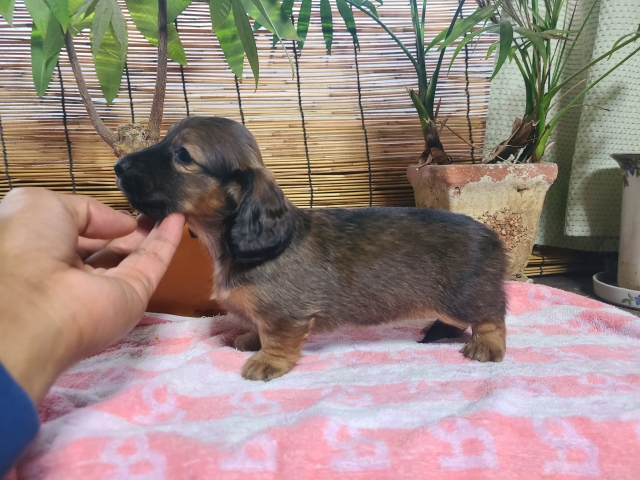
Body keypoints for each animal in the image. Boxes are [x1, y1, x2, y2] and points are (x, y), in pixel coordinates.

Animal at [115, 116, 507, 381]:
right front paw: (249, 339)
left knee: (492, 317)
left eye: (182, 154)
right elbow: (257, 329)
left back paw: (487, 346)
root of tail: (492, 237)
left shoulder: (285, 315)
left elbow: (276, 339)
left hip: (465, 298)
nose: (118, 166)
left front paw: (267, 362)